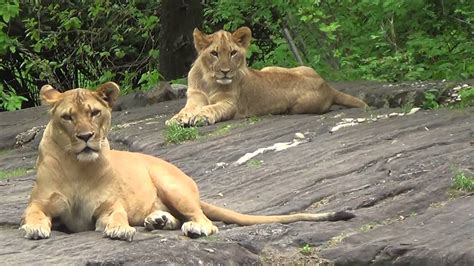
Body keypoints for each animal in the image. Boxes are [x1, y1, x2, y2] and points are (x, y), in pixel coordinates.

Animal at [20, 82, 354, 241]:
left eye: (94, 113)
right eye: (68, 117)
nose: (87, 136)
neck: (78, 167)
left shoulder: (110, 205)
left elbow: (117, 216)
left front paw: (120, 230)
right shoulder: (40, 203)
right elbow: (34, 215)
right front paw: (35, 228)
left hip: (172, 185)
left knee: (205, 221)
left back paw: (190, 227)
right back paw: (158, 220)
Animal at [167, 26, 366, 126]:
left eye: (233, 53)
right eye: (214, 53)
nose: (225, 71)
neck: (209, 80)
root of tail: (327, 85)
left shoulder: (230, 103)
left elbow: (212, 108)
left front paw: (200, 117)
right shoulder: (195, 98)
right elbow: (185, 110)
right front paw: (176, 119)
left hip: (299, 105)